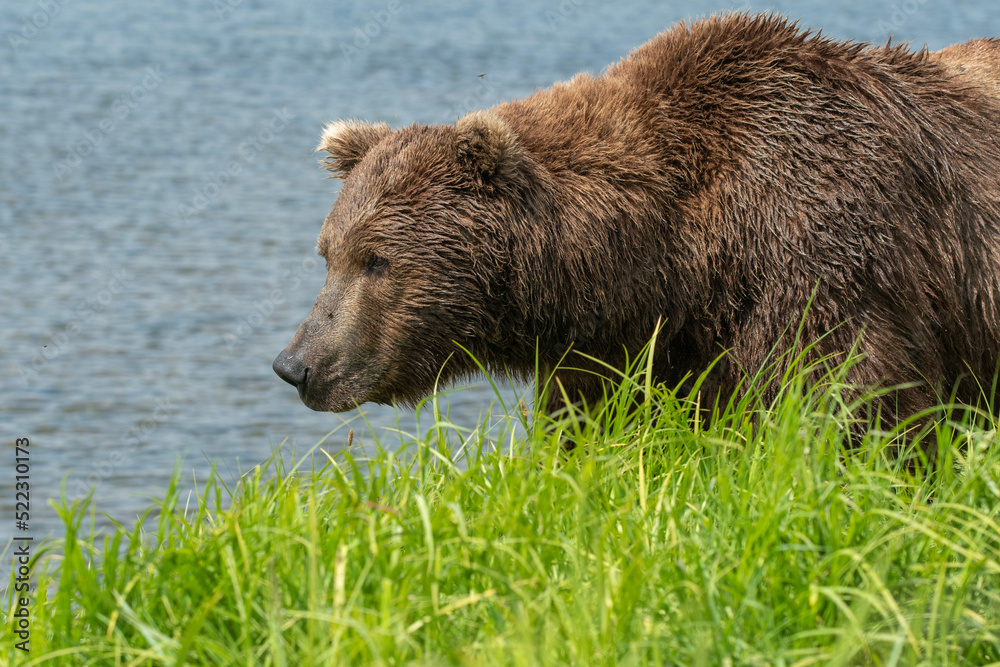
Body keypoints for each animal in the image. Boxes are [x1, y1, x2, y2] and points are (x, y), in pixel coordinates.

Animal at [272, 13, 1000, 426]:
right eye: (328, 253)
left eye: (378, 259)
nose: (296, 365)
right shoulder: (624, 347)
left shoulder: (826, 250)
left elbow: (849, 405)